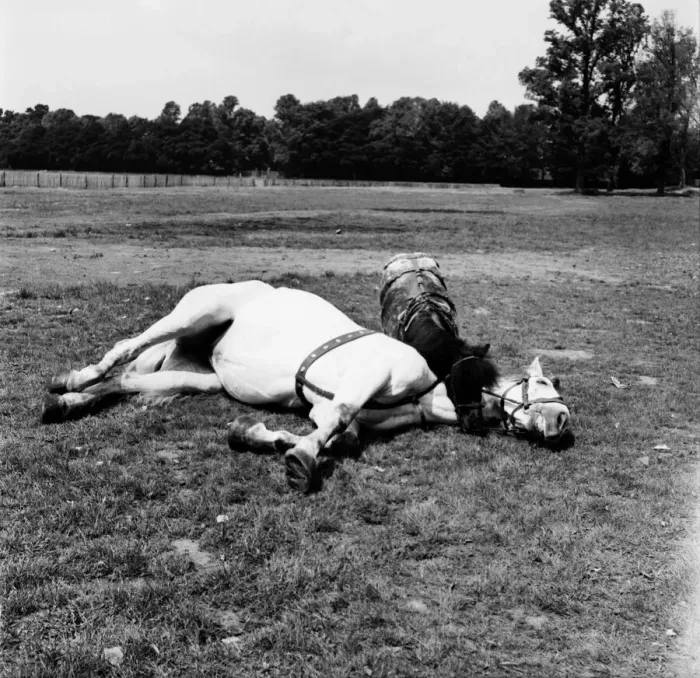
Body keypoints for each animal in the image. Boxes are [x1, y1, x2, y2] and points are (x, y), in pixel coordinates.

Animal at [42, 281, 494, 494]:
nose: (477, 424)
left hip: (197, 377)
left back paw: (68, 403)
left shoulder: (325, 409)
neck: (418, 393)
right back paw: (72, 381)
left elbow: (341, 435)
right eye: (474, 379)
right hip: (193, 315)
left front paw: (256, 435)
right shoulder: (367, 377)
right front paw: (299, 460)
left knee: (126, 380)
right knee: (125, 348)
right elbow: (338, 418)